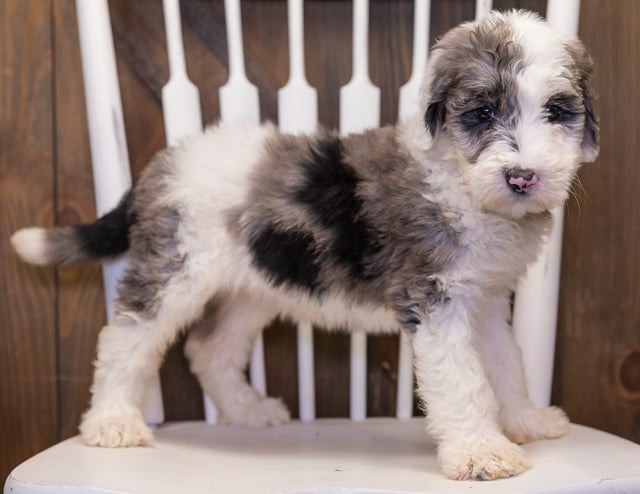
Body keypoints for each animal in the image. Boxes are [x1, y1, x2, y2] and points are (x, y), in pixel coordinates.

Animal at [11, 9, 600, 482]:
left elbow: (505, 364)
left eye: (556, 111)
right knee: (127, 338)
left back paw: (247, 413)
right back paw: (112, 422)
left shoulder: (488, 299)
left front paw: (525, 421)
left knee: (209, 349)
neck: (458, 178)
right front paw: (480, 454)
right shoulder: (436, 297)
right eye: (481, 113)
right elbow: (462, 377)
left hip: (253, 287)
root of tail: (162, 164)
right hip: (174, 269)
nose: (522, 177)